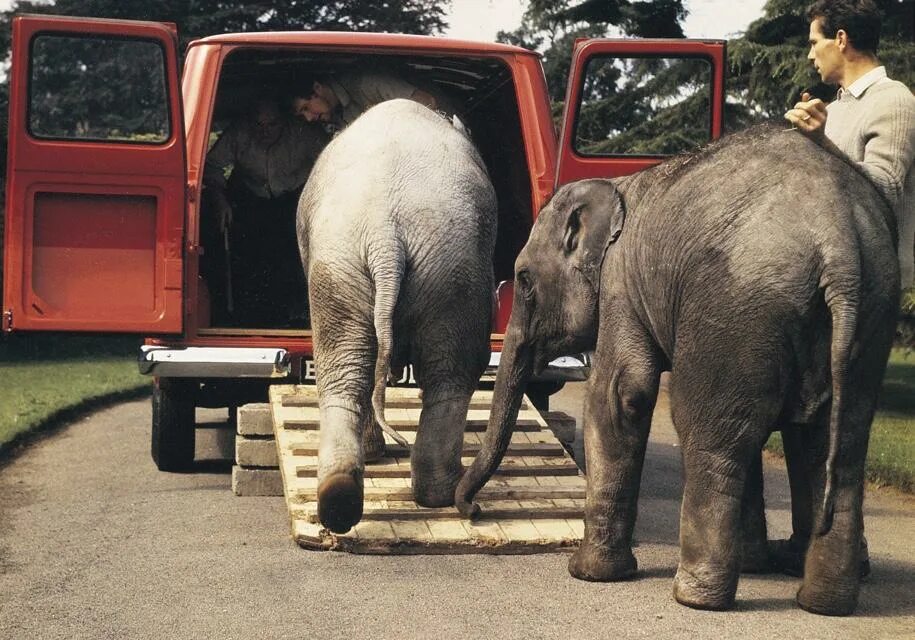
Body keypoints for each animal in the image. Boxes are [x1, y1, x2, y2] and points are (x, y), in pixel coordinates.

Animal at [296, 99, 498, 536]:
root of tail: (385, 234)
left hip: (353, 267)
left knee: (347, 369)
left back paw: (343, 498)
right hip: (445, 268)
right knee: (449, 374)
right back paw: (437, 491)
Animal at [454, 125, 900, 616]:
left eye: (524, 281)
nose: (472, 512)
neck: (619, 188)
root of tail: (838, 241)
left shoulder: (621, 284)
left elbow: (620, 395)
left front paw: (587, 574)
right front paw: (756, 565)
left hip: (734, 310)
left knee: (709, 432)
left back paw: (695, 596)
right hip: (869, 318)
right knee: (831, 446)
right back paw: (821, 601)